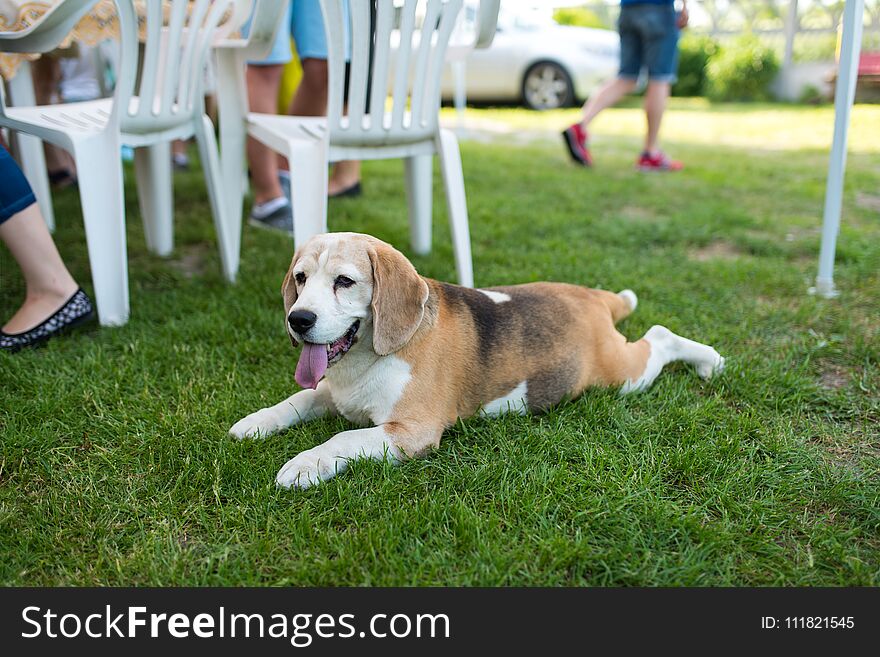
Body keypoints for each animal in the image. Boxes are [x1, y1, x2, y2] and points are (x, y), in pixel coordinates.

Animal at [230, 233, 724, 490]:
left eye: (344, 282)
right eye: (300, 278)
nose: (298, 320)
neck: (367, 358)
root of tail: (587, 296)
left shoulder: (411, 432)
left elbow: (343, 439)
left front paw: (305, 464)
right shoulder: (332, 393)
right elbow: (295, 401)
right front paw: (254, 423)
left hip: (623, 375)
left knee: (659, 337)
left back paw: (709, 362)